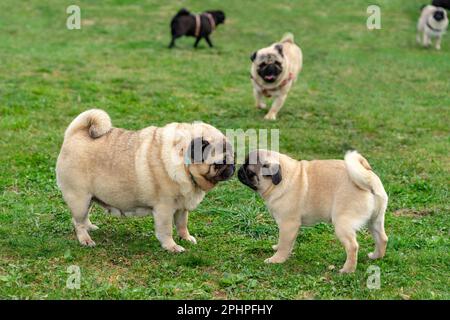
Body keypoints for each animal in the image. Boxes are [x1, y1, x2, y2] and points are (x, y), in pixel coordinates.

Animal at [56, 110, 236, 252]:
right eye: (220, 163)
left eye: (233, 156)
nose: (232, 167)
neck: (182, 161)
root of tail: (75, 134)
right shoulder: (164, 208)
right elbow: (166, 230)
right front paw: (172, 247)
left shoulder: (181, 207)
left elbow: (182, 224)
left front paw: (186, 238)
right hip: (80, 198)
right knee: (78, 221)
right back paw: (85, 239)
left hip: (89, 198)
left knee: (84, 217)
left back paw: (90, 227)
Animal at [237, 150, 388, 272]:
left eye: (249, 171)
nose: (239, 170)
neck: (283, 178)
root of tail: (368, 180)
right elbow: (285, 242)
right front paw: (277, 248)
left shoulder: (288, 224)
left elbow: (285, 244)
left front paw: (277, 259)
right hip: (375, 220)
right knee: (382, 238)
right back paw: (375, 257)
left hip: (342, 224)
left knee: (352, 246)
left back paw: (347, 270)